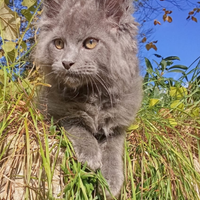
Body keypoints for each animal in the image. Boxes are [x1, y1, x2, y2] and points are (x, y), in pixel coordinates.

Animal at [34, 0, 143, 198]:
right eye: (59, 43)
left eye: (90, 43)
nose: (66, 62)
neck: (93, 94)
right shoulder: (55, 110)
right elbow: (77, 126)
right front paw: (91, 156)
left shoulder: (118, 122)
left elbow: (113, 149)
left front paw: (111, 182)